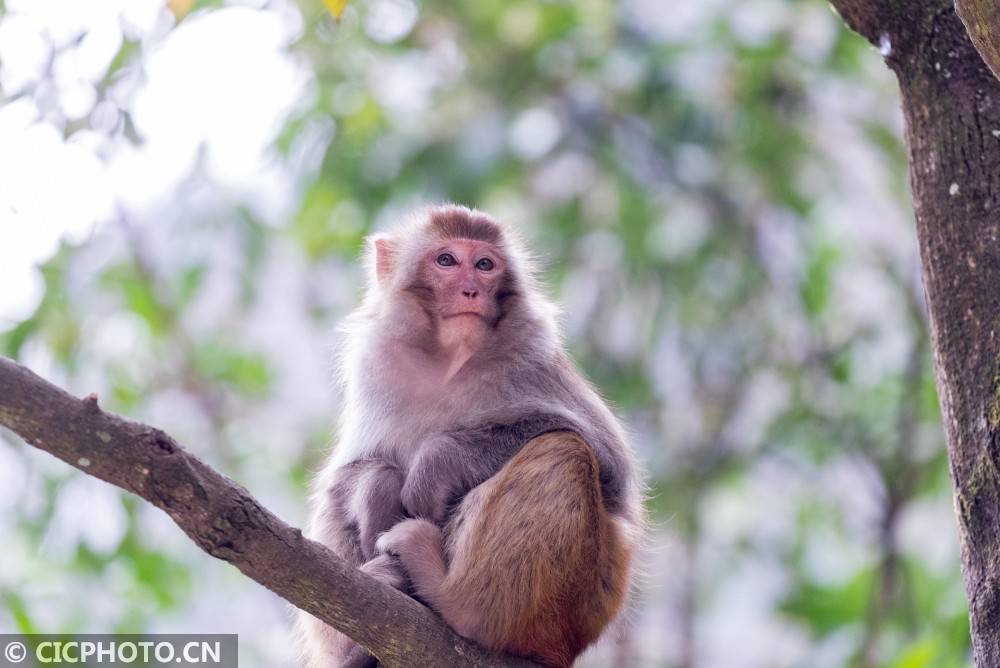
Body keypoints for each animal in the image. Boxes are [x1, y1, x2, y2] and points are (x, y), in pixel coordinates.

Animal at [292, 205, 644, 668]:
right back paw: (357, 644)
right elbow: (351, 470)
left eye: (484, 265)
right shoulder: (373, 364)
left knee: (565, 450)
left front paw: (436, 464)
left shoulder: (534, 357)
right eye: (446, 260)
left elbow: (610, 463)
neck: (449, 358)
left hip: (573, 606)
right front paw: (379, 490)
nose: (471, 290)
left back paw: (452, 598)